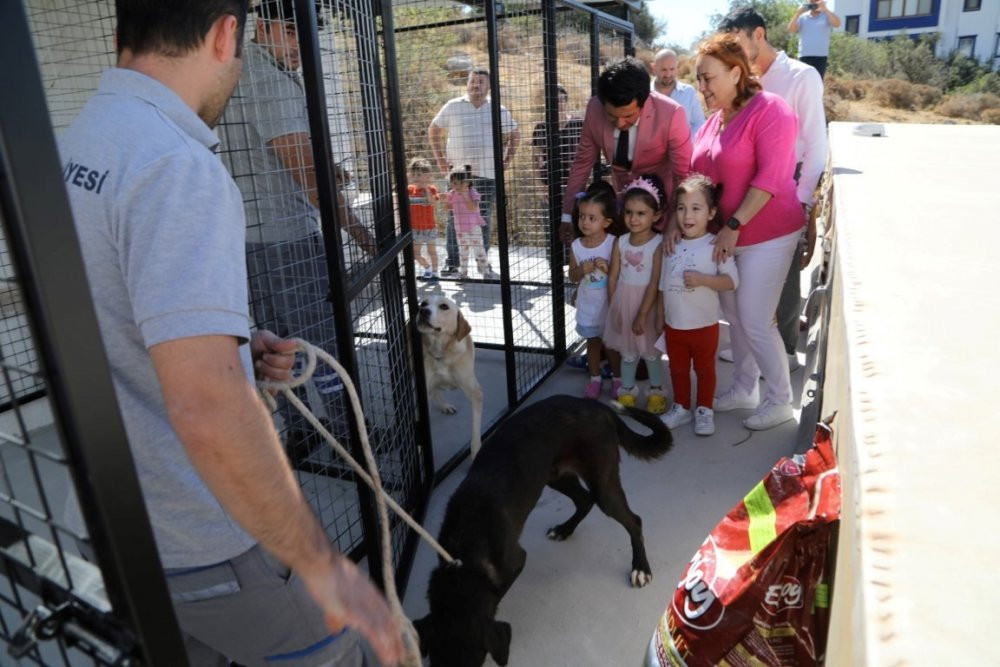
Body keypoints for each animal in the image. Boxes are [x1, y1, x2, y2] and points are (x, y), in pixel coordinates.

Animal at [414, 394, 672, 664]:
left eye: (476, 662)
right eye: (434, 662)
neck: (467, 540)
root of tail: (598, 406)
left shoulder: (515, 561)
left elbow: (497, 594)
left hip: (603, 485)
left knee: (634, 520)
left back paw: (640, 568)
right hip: (554, 476)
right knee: (584, 500)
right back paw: (564, 530)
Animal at [416, 294, 482, 456]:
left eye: (444, 306)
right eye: (423, 303)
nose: (423, 311)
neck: (442, 353)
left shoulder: (476, 393)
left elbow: (476, 432)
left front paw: (476, 452)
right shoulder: (424, 389)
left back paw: (445, 406)